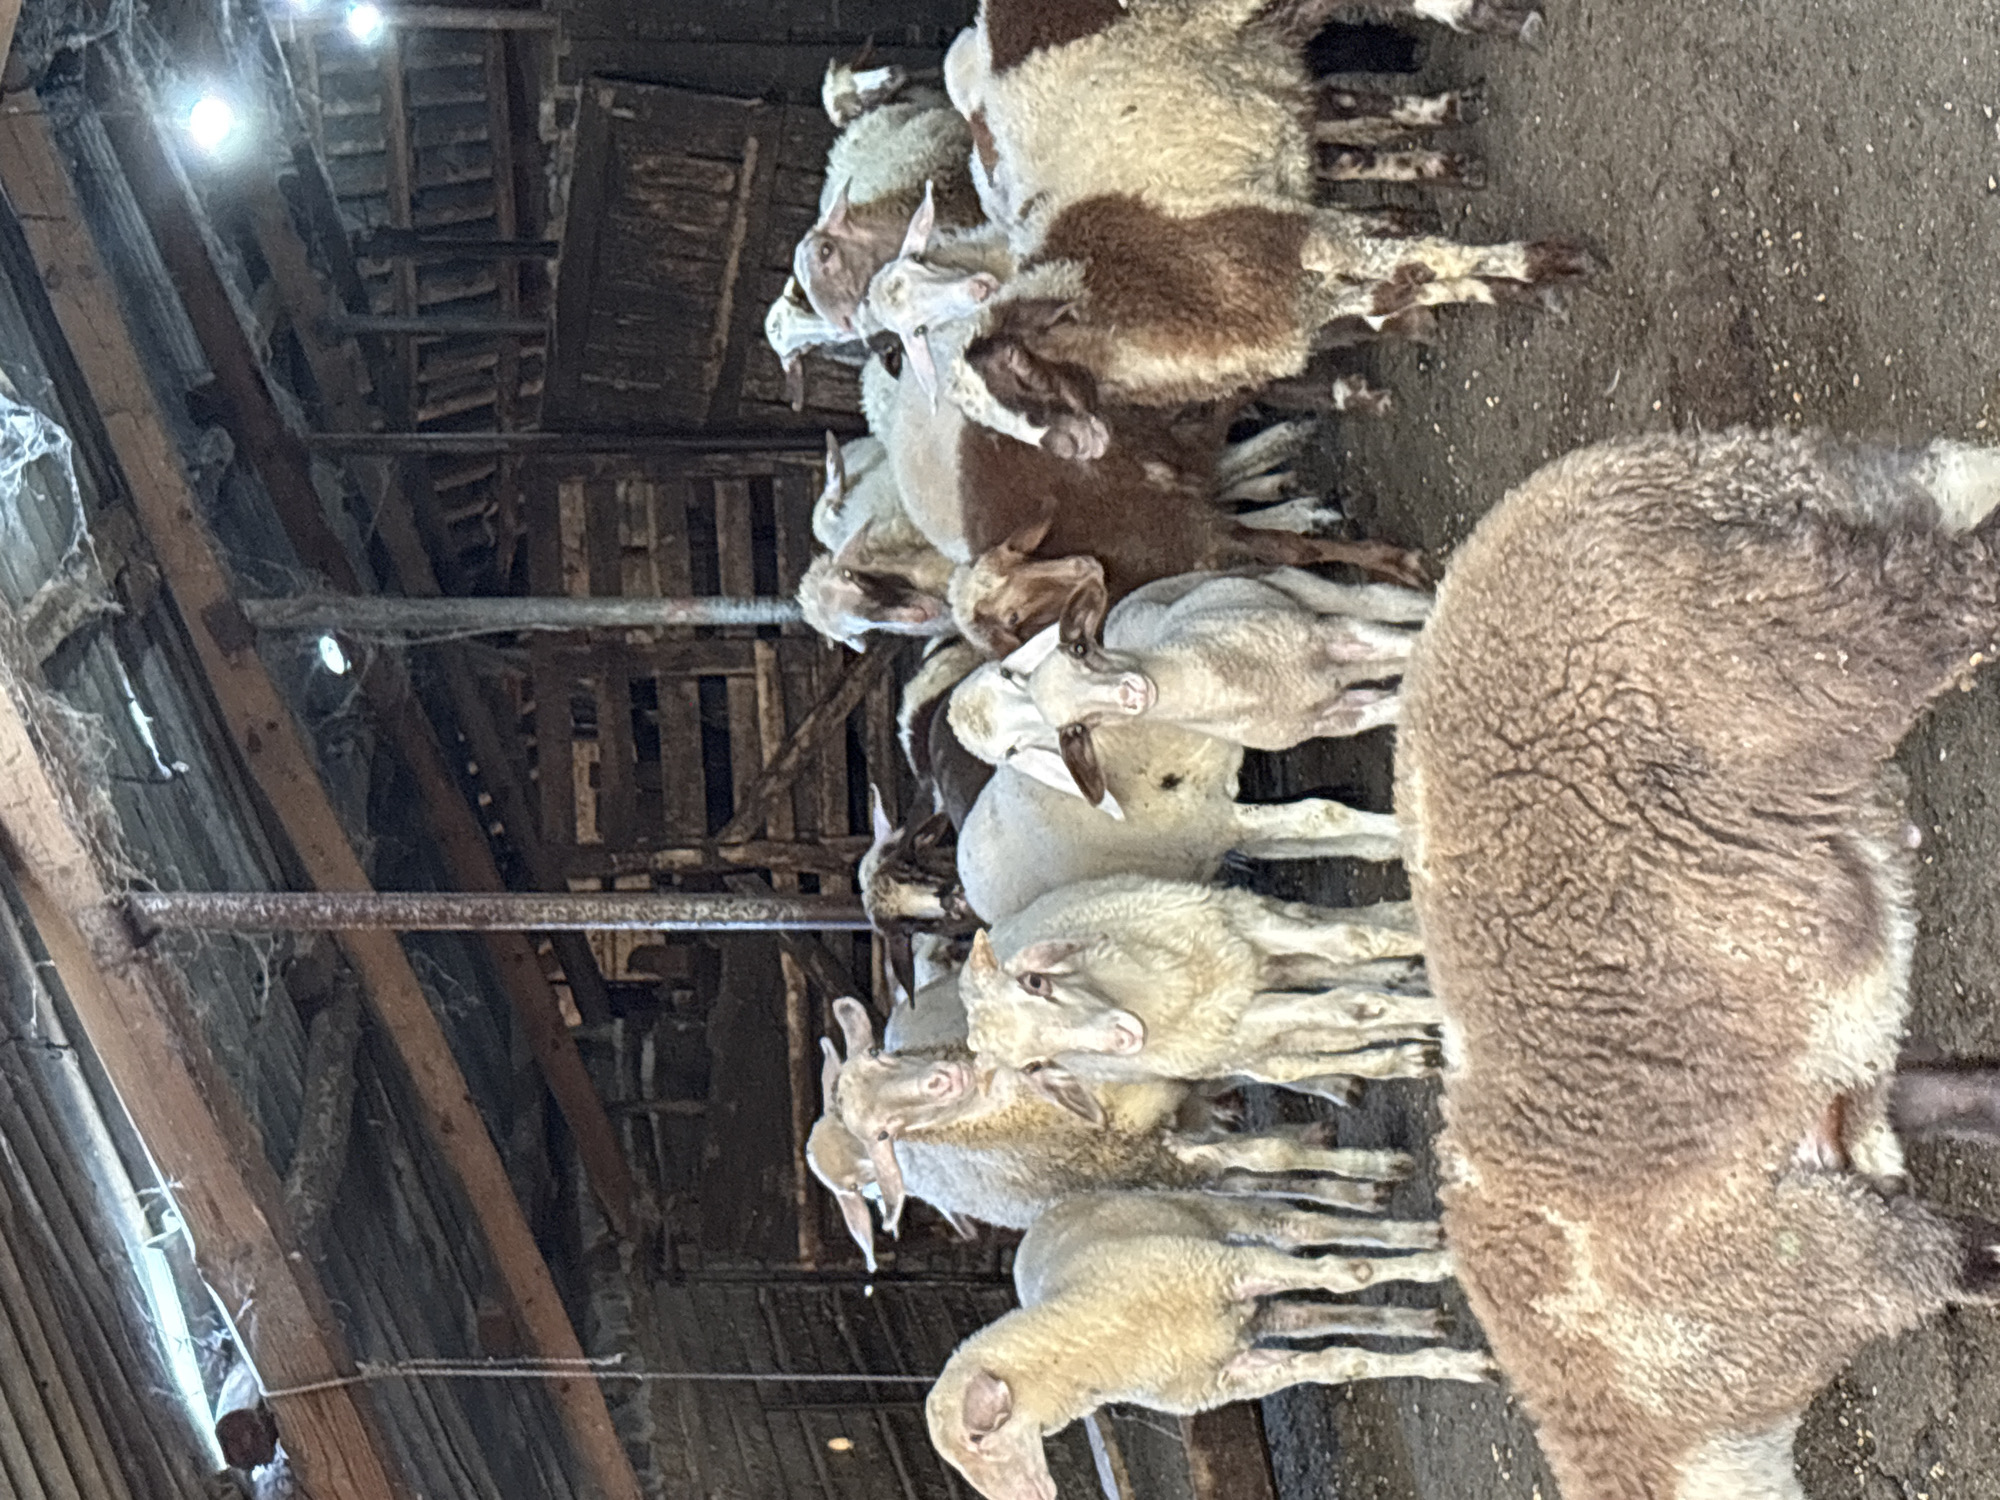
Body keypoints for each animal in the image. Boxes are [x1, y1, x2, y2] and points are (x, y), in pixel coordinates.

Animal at [823, 998, 1411, 1244]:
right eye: (883, 1135)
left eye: (879, 1053)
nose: (946, 1080)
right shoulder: (1171, 1155)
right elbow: (1271, 1154)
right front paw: (1376, 1172)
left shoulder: (1166, 1078)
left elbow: (1274, 1061)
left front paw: (1379, 1065)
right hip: (1175, 1175)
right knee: (1257, 1177)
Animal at [927, 1189, 1490, 1500]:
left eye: (977, 1439)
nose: (1036, 1496)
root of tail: (1039, 1219)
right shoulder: (1232, 1372)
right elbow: (1340, 1363)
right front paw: (1450, 1364)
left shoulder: (1234, 1267)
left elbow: (1345, 1272)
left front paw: (1438, 1267)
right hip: (1254, 1317)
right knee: (1318, 1313)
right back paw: (1419, 1320)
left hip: (1215, 1221)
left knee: (1306, 1227)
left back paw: (1418, 1235)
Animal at [958, 875, 1440, 1091]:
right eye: (1033, 1065)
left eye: (1034, 981)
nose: (1124, 1038)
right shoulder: (1238, 1023)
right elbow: (1352, 1009)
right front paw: (1436, 1008)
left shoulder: (1235, 925)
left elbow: (1351, 941)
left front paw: (1424, 946)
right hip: (1237, 1050)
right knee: (1307, 1054)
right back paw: (1406, 1054)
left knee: (1313, 934)